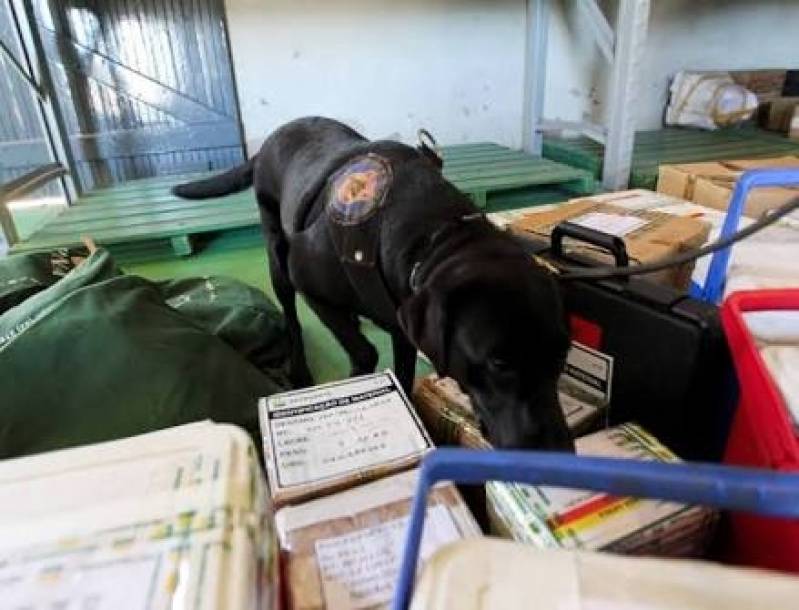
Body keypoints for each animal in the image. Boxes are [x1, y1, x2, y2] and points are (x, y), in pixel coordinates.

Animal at [175, 116, 576, 448]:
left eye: (562, 353)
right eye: (498, 364)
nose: (559, 451)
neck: (437, 236)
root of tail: (271, 139)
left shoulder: (404, 321)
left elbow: (403, 371)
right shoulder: (310, 283)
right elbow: (364, 351)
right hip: (278, 255)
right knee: (290, 314)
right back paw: (300, 367)